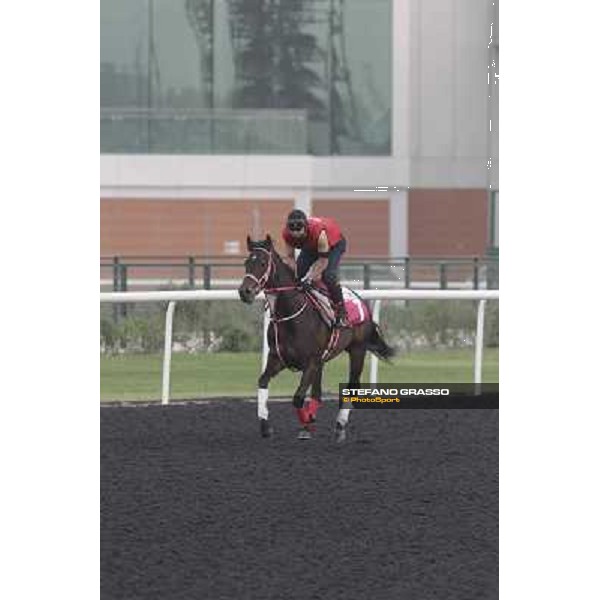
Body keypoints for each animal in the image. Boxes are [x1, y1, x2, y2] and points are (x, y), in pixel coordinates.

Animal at [239, 234, 394, 440]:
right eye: (247, 263)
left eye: (263, 263)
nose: (244, 292)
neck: (291, 315)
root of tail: (361, 300)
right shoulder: (278, 358)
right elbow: (263, 381)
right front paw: (266, 425)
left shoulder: (311, 362)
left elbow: (297, 398)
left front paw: (307, 421)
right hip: (322, 360)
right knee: (317, 393)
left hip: (357, 350)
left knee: (352, 385)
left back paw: (340, 425)